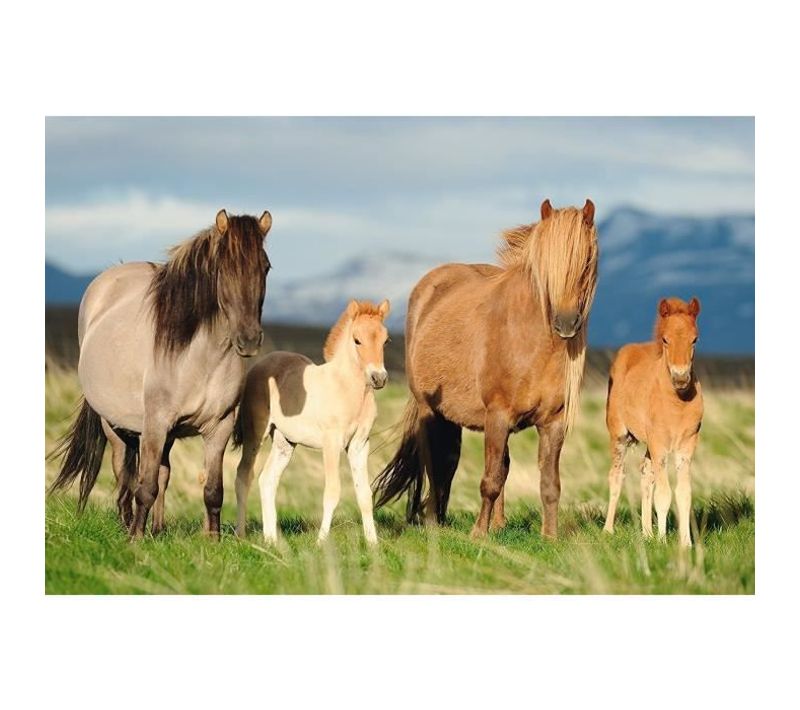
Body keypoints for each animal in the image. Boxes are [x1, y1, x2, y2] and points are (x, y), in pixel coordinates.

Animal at [48, 209, 273, 540]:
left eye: (265, 267)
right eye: (223, 268)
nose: (249, 340)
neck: (199, 358)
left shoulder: (218, 427)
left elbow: (212, 490)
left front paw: (213, 540)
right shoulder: (155, 425)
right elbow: (144, 487)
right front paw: (135, 540)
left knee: (162, 473)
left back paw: (157, 528)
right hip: (114, 426)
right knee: (124, 476)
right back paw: (128, 525)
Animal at [232, 299, 390, 545]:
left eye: (386, 340)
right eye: (357, 340)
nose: (379, 378)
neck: (347, 388)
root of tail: (259, 366)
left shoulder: (359, 444)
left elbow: (364, 493)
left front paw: (373, 543)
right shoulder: (331, 443)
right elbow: (332, 492)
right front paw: (321, 542)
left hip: (284, 442)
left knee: (267, 479)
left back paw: (271, 539)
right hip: (255, 434)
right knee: (243, 476)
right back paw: (241, 535)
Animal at [372, 199, 599, 539]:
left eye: (586, 263)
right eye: (546, 267)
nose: (566, 323)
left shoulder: (553, 423)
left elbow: (548, 484)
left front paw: (550, 536)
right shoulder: (497, 416)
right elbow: (489, 480)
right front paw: (478, 534)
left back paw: (491, 523)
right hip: (431, 411)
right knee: (437, 464)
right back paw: (434, 522)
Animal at [603, 297, 703, 547]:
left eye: (695, 339)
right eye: (665, 339)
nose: (680, 378)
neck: (677, 403)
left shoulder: (687, 446)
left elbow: (683, 493)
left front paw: (685, 544)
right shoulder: (660, 445)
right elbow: (664, 494)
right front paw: (663, 541)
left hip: (649, 444)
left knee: (646, 474)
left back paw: (647, 532)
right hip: (619, 435)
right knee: (617, 476)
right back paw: (608, 530)